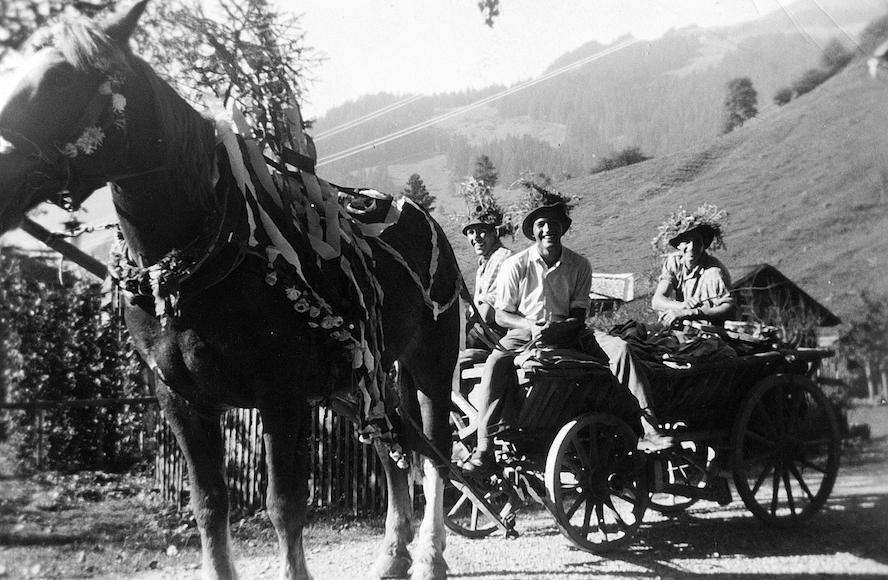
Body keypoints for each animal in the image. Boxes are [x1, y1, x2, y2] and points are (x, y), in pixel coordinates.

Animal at [0, 2, 458, 576]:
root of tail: (420, 216)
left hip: (431, 360)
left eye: (62, 78)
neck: (195, 269)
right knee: (390, 449)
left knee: (436, 452)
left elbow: (284, 505)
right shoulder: (181, 401)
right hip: (358, 380)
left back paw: (431, 557)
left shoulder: (280, 396)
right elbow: (209, 504)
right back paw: (393, 555)